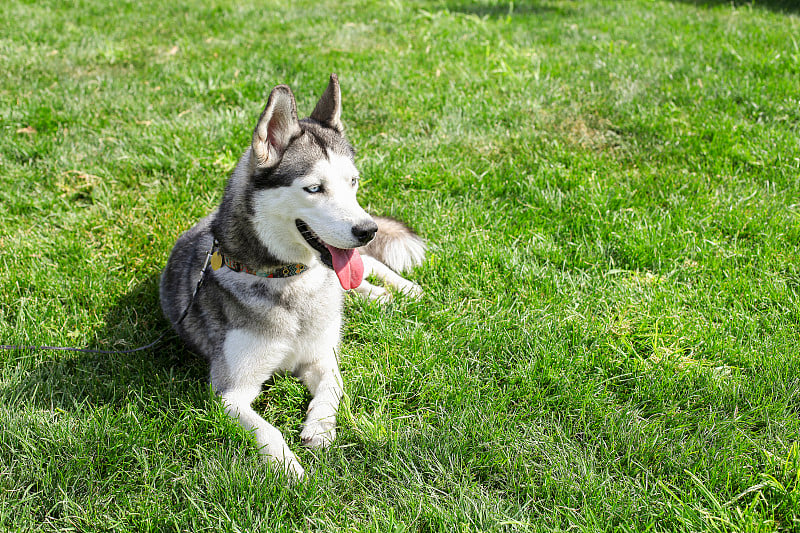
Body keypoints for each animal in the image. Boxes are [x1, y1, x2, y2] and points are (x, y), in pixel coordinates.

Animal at [159, 74, 428, 478]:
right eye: (314, 188)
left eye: (353, 181)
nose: (368, 230)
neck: (289, 278)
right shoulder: (230, 392)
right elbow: (267, 430)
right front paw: (289, 469)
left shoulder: (320, 356)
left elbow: (334, 386)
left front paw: (320, 428)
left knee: (369, 264)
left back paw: (401, 289)